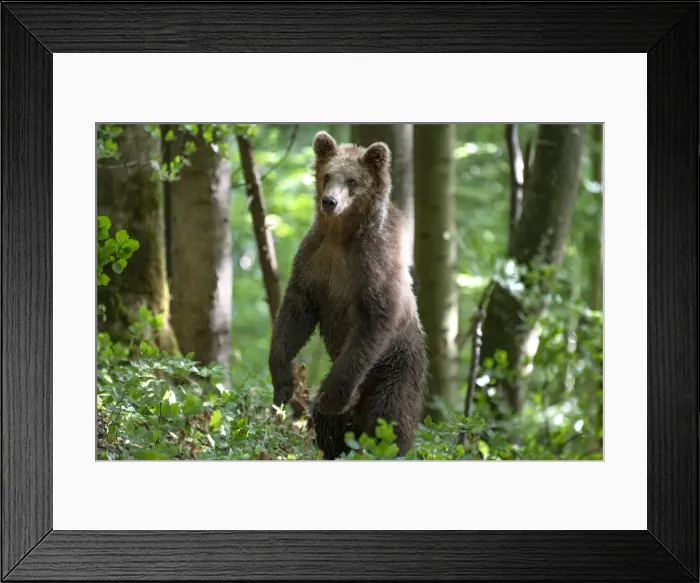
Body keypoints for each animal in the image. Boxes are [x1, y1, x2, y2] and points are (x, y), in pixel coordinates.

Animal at [268, 130, 428, 460]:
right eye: (327, 175)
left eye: (353, 181)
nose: (329, 201)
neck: (342, 237)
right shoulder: (314, 262)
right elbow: (295, 314)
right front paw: (283, 381)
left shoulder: (374, 269)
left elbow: (372, 324)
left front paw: (328, 398)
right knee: (337, 431)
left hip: (396, 369)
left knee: (388, 420)